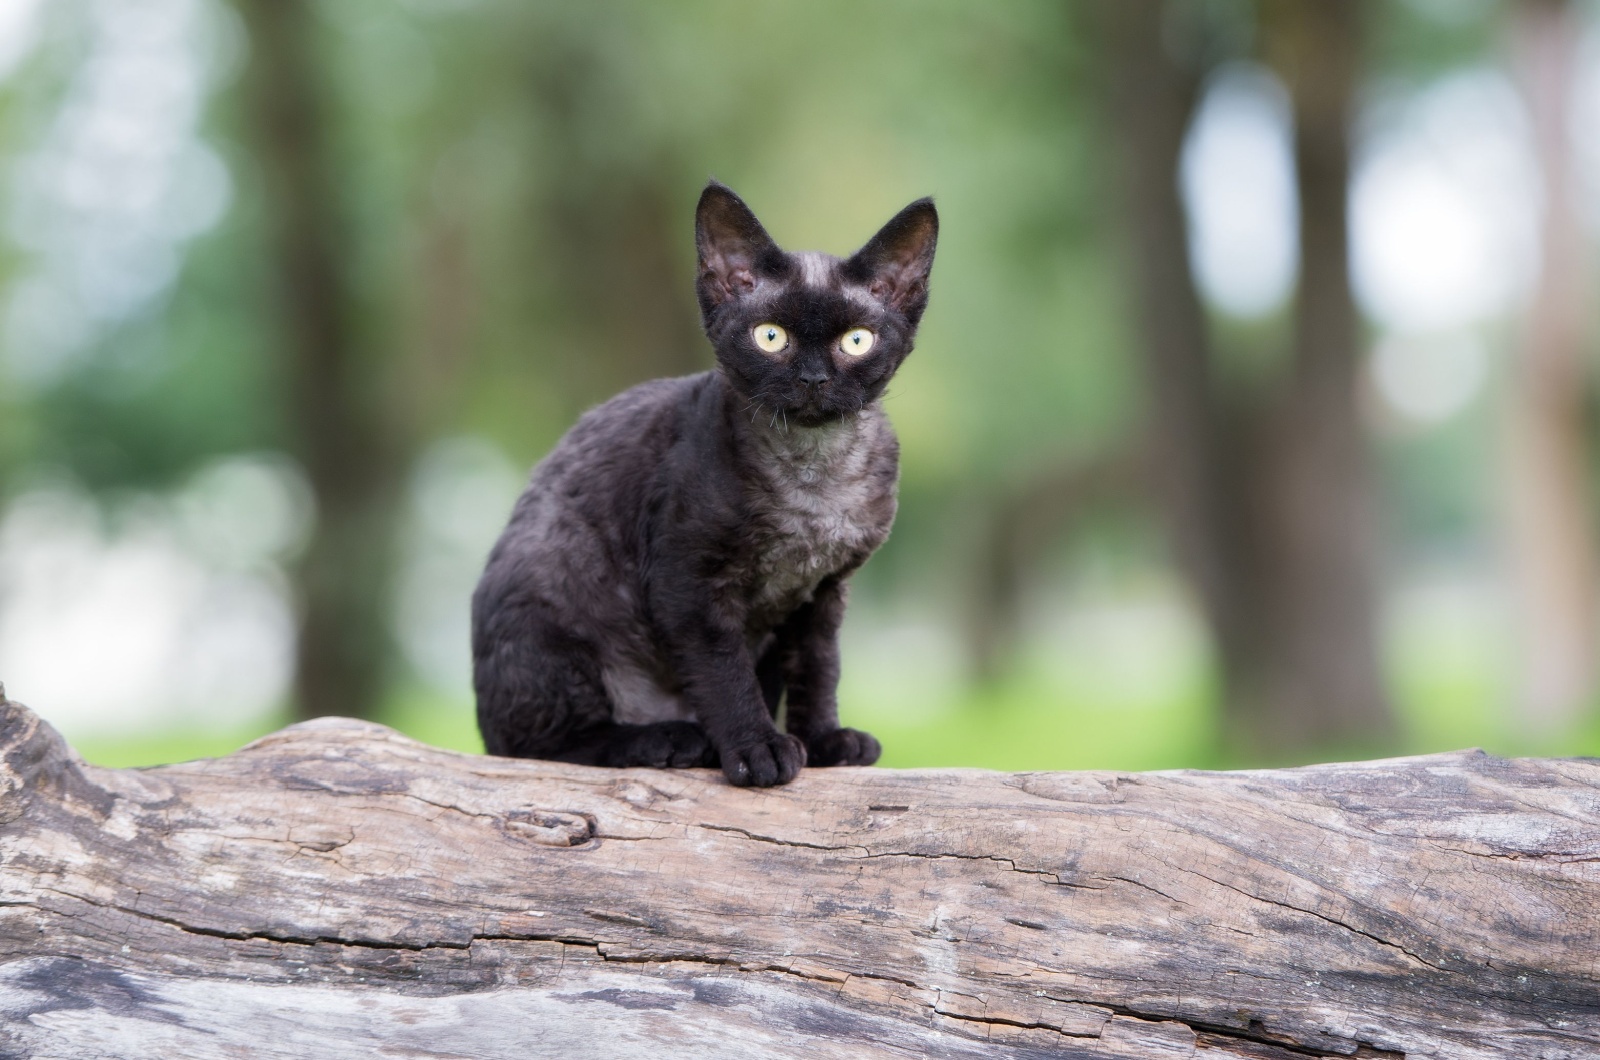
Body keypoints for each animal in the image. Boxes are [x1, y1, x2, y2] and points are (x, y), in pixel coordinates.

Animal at [467, 180, 934, 787]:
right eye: (770, 337)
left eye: (857, 341)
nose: (813, 379)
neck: (814, 478)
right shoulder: (687, 585)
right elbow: (723, 673)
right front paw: (758, 749)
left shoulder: (823, 594)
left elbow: (820, 669)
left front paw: (825, 740)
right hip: (550, 613)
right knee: (539, 747)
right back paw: (666, 740)